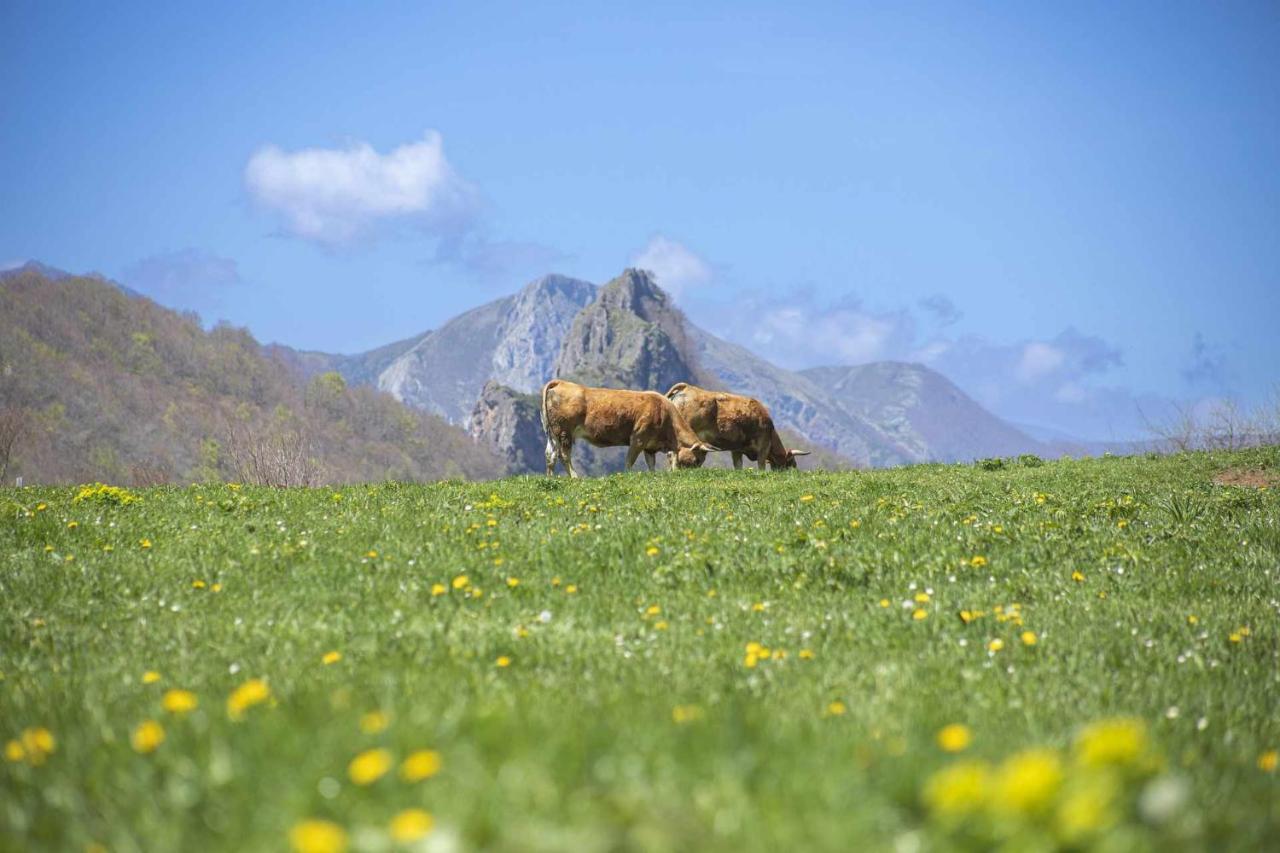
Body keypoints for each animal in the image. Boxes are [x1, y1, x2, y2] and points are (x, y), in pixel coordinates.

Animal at [540, 376, 721, 473]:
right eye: (698, 459)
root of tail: (561, 382)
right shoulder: (638, 439)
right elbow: (629, 462)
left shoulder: (650, 446)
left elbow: (651, 465)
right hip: (564, 432)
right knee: (564, 455)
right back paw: (575, 477)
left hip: (552, 433)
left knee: (550, 455)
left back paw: (551, 478)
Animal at [660, 381, 808, 468]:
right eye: (792, 464)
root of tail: (688, 387)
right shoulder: (763, 446)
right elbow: (761, 466)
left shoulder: (737, 450)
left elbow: (738, 466)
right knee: (673, 455)